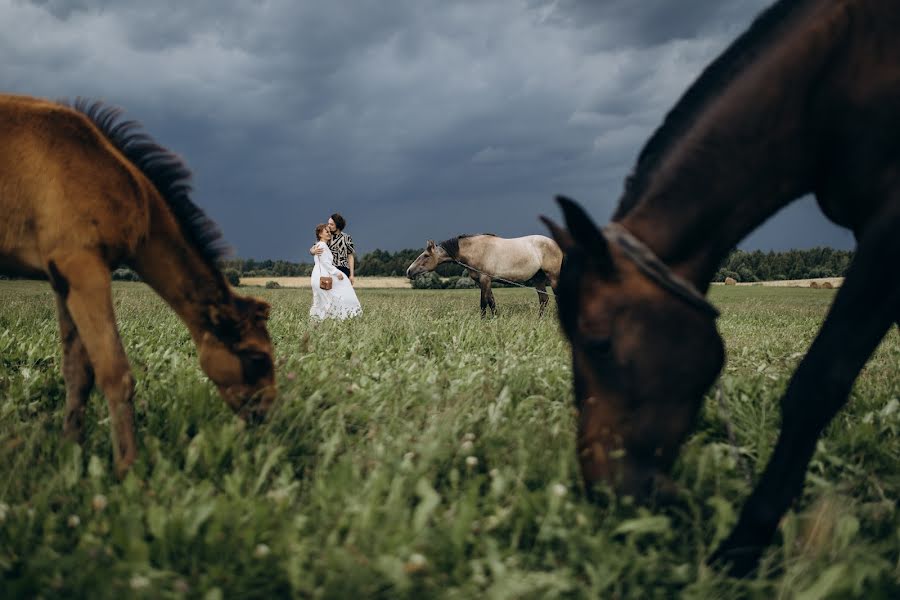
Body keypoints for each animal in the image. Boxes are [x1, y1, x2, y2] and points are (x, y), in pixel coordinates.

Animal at [0, 95, 278, 478]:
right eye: (256, 356)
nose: (267, 413)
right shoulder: (84, 266)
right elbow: (115, 371)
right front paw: (127, 467)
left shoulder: (61, 278)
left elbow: (77, 372)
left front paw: (70, 454)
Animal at [408, 234, 564, 316]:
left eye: (426, 255)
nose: (409, 271)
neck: (477, 250)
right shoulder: (482, 282)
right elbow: (491, 302)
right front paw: (495, 319)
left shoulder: (485, 279)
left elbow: (483, 303)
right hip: (539, 279)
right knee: (543, 300)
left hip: (553, 277)